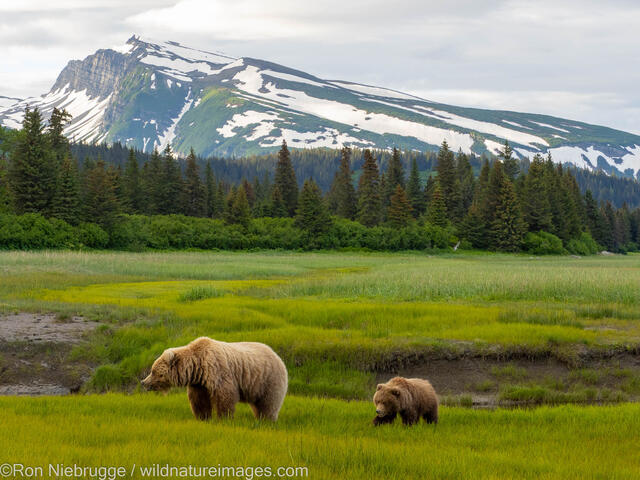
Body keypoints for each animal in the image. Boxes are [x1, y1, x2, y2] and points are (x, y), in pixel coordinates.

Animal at [144, 336, 288, 422]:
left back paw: (266, 420)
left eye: (153, 371)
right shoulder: (199, 383)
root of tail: (278, 357)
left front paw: (223, 419)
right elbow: (199, 401)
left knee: (269, 403)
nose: (144, 382)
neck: (197, 366)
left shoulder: (218, 371)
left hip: (268, 380)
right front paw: (203, 418)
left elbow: (225, 396)